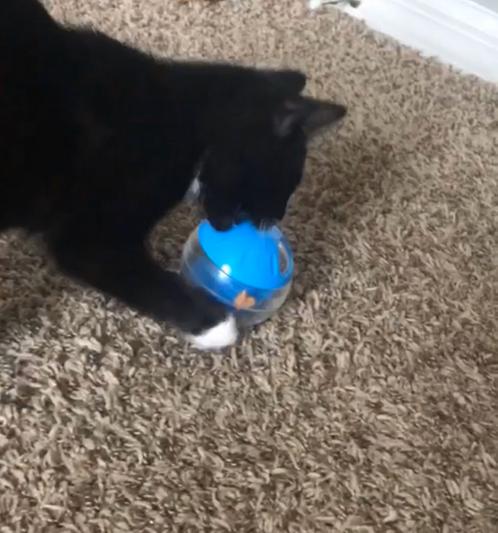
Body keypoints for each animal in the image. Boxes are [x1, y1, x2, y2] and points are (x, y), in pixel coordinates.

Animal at [0, 0, 346, 350]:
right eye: (287, 180)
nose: (277, 217)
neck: (183, 119)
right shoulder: (89, 236)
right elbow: (146, 281)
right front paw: (218, 327)